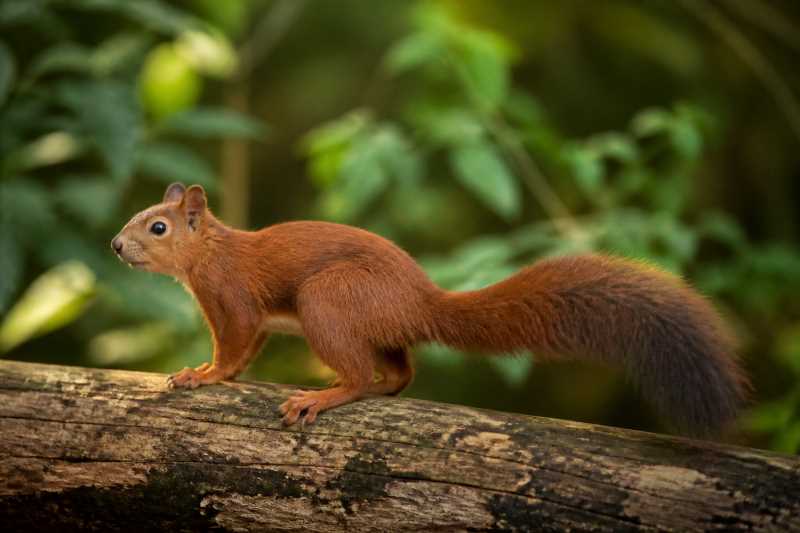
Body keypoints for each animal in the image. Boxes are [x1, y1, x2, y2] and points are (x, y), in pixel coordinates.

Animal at [112, 182, 750, 436]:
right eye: (140, 216)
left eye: (158, 226)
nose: (116, 246)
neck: (211, 251)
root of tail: (419, 301)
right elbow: (246, 353)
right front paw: (211, 373)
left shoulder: (234, 299)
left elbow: (234, 346)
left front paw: (201, 375)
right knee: (399, 373)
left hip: (328, 301)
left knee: (362, 374)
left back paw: (323, 395)